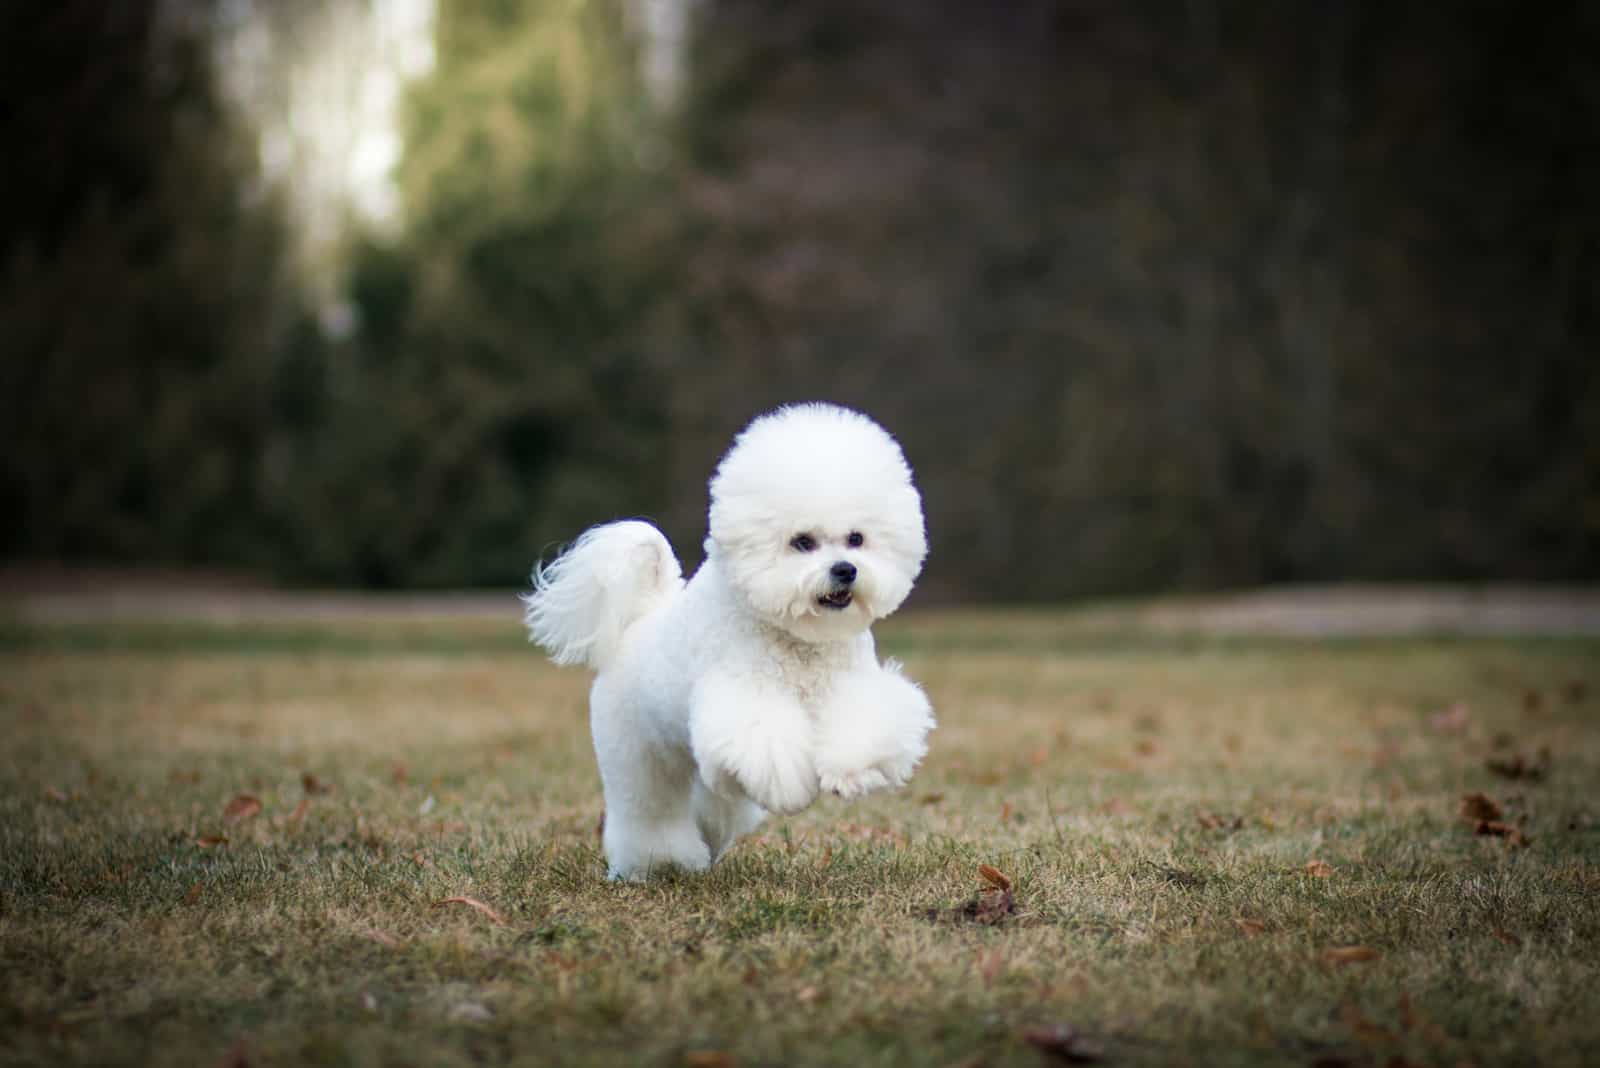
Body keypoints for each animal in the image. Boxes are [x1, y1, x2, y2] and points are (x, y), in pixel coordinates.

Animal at [524, 404, 934, 882]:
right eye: (802, 542)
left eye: (856, 538)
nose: (846, 570)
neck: (798, 639)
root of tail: (639, 623)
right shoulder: (746, 699)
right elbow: (766, 745)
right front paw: (794, 790)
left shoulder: (851, 686)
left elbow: (864, 726)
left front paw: (851, 773)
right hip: (636, 756)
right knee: (648, 811)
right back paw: (656, 863)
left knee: (715, 804)